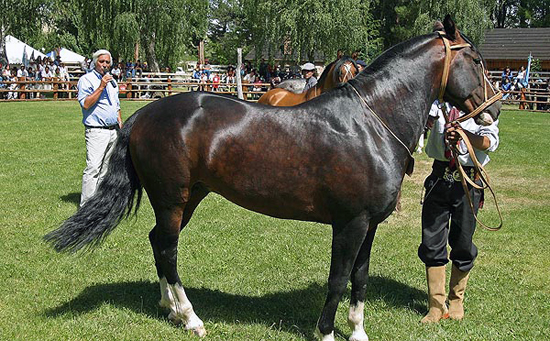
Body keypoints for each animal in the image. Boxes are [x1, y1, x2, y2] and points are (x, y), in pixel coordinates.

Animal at [46, 16, 504, 340]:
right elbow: (338, 278)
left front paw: (357, 332)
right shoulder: (349, 224)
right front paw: (325, 334)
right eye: (477, 60)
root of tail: (143, 115)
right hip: (173, 200)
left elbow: (359, 278)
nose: (495, 110)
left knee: (157, 243)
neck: (371, 122)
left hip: (188, 199)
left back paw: (170, 308)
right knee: (169, 251)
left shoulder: (369, 225)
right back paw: (191, 318)